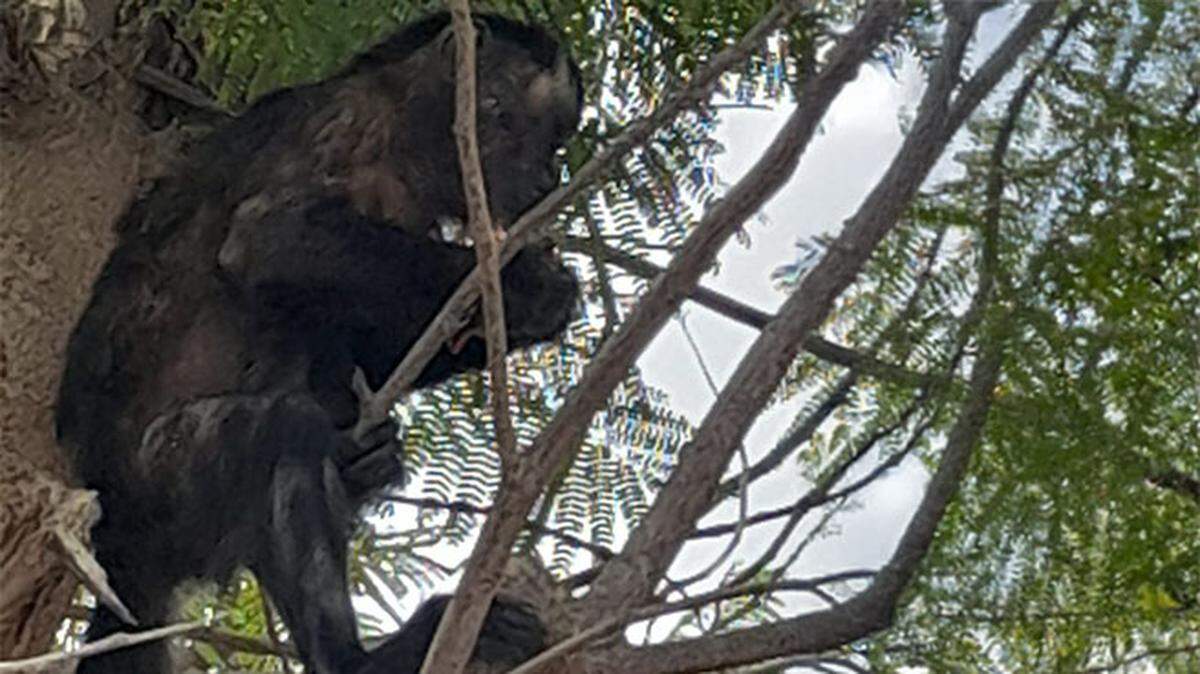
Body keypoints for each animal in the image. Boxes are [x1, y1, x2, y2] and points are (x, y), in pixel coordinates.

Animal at [56, 12, 582, 674]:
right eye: (530, 130)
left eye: (557, 145)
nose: (549, 176)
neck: (407, 137)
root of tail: (119, 548)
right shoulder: (348, 122)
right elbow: (268, 240)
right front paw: (525, 286)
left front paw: (526, 310)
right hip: (153, 484)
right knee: (282, 429)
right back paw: (362, 658)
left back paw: (364, 462)